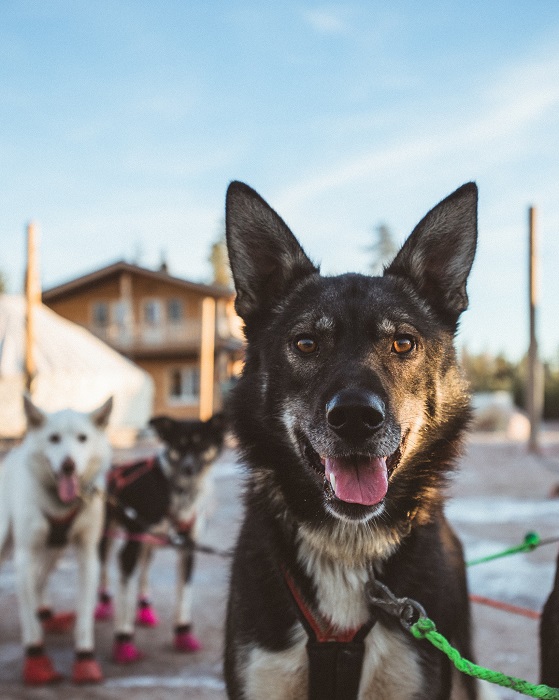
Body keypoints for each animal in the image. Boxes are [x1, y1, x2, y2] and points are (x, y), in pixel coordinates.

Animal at [96, 412, 225, 664]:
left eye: (203, 445)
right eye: (178, 445)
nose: (189, 468)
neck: (179, 492)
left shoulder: (188, 549)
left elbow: (184, 595)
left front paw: (183, 633)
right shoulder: (130, 548)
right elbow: (124, 596)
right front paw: (123, 641)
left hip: (151, 545)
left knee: (144, 571)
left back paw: (144, 608)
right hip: (107, 538)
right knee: (104, 568)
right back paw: (103, 605)